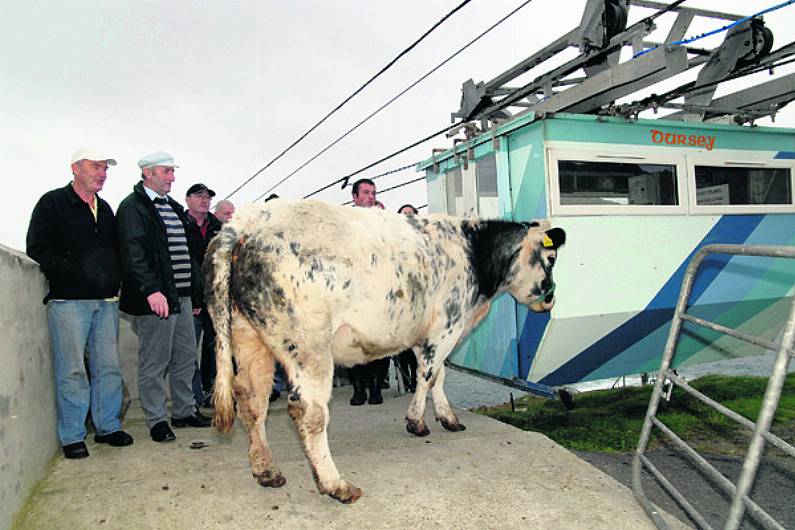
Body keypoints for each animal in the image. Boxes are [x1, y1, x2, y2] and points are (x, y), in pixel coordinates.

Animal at [205, 199, 564, 504]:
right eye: (551, 259)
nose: (551, 298)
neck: (473, 253)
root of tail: (247, 221)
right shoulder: (446, 326)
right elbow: (428, 374)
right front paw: (417, 421)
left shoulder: (431, 333)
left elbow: (439, 376)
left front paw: (447, 417)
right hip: (309, 346)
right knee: (309, 412)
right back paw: (335, 484)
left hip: (250, 339)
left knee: (251, 399)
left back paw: (266, 469)